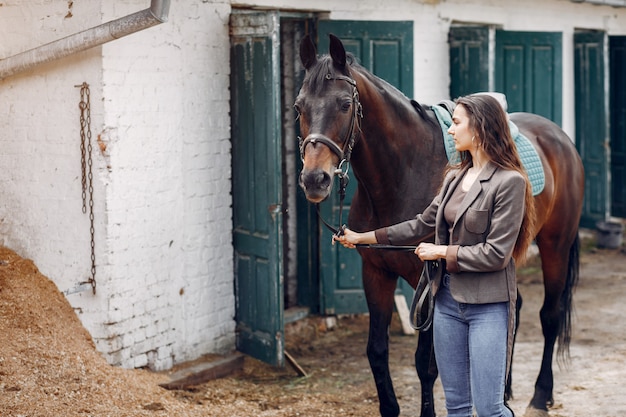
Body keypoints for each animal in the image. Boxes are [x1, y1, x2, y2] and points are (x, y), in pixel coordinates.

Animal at [294, 34, 584, 416]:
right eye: (299, 107)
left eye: (344, 105)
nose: (315, 179)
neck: (403, 173)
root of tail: (560, 138)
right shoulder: (376, 275)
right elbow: (377, 351)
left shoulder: (430, 277)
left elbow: (426, 363)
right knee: (512, 309)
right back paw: (503, 391)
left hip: (555, 247)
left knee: (550, 315)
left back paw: (540, 395)